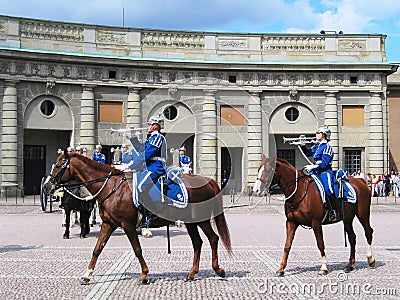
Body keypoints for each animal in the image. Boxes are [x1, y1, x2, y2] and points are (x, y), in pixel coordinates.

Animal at [43, 151, 231, 284]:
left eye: (58, 165)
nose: (46, 187)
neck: (111, 187)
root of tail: (207, 180)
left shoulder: (128, 225)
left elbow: (137, 249)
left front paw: (144, 275)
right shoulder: (108, 224)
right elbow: (97, 248)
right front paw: (87, 274)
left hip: (202, 220)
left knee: (213, 239)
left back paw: (218, 270)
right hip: (191, 223)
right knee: (198, 243)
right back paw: (192, 273)